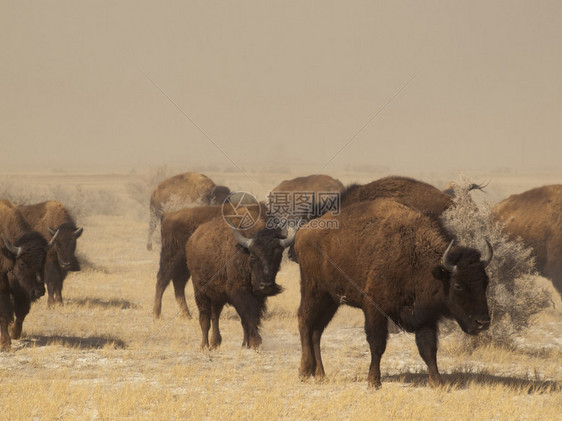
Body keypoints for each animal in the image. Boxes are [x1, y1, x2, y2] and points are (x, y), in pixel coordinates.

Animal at [0, 202, 58, 350]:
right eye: (22, 263)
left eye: (43, 261)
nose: (39, 291)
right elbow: (4, 313)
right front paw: (5, 343)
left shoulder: (23, 291)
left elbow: (21, 311)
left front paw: (15, 333)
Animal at [186, 217, 296, 348]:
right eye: (253, 255)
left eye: (278, 255)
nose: (266, 285)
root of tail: (192, 239)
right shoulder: (240, 294)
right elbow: (249, 315)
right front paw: (255, 342)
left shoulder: (258, 297)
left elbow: (248, 319)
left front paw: (245, 344)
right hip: (200, 292)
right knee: (205, 318)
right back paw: (204, 345)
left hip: (217, 297)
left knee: (215, 316)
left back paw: (215, 343)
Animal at [294, 199, 490, 386]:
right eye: (457, 285)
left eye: (486, 282)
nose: (483, 322)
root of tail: (303, 233)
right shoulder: (374, 309)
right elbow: (377, 344)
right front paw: (374, 382)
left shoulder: (426, 317)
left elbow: (428, 349)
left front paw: (438, 383)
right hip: (313, 292)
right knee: (305, 322)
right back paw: (304, 371)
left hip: (331, 300)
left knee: (317, 331)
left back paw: (320, 375)